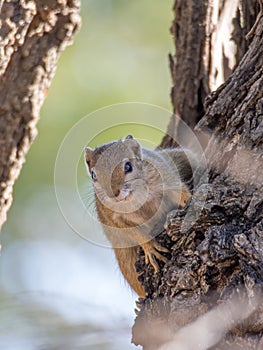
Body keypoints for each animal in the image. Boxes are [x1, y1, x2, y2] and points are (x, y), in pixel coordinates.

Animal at [85, 135, 196, 296]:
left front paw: (191, 200)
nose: (114, 194)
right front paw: (150, 247)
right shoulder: (112, 217)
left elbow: (180, 192)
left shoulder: (164, 177)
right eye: (93, 175)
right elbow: (133, 232)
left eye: (128, 166)